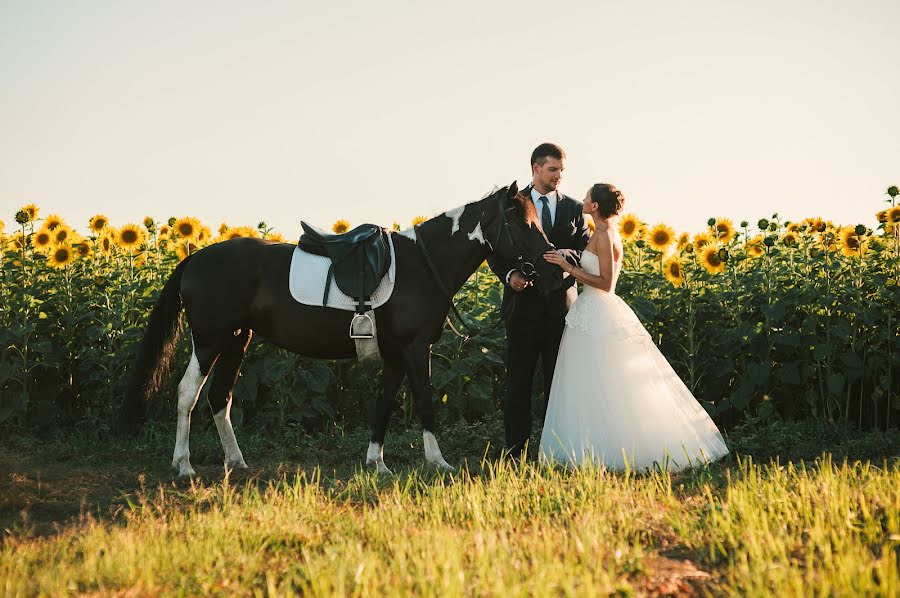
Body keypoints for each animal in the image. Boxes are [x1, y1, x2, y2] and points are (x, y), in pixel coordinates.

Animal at [116, 183, 560, 478]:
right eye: (520, 221)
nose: (555, 267)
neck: (422, 263)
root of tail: (194, 259)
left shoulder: (396, 355)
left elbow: (383, 405)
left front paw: (376, 463)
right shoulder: (416, 349)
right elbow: (425, 402)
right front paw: (438, 462)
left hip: (237, 340)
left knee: (220, 397)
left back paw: (236, 462)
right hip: (210, 341)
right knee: (188, 393)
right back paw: (184, 466)